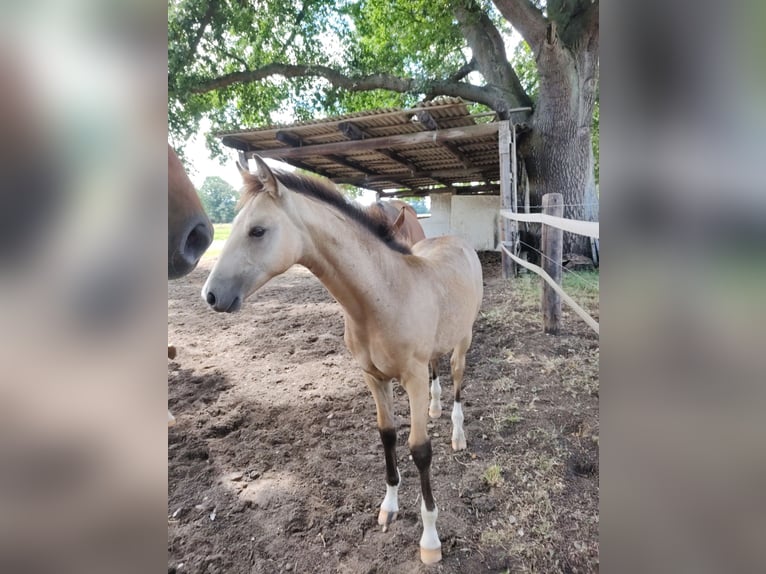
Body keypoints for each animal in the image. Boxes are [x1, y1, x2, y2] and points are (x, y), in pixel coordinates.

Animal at [201, 159, 484, 568]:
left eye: (257, 230)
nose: (210, 295)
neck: (385, 296)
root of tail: (457, 242)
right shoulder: (374, 378)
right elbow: (387, 435)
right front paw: (389, 507)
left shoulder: (411, 379)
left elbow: (420, 450)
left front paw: (430, 540)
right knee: (437, 373)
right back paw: (434, 408)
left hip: (463, 341)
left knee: (459, 383)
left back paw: (458, 436)